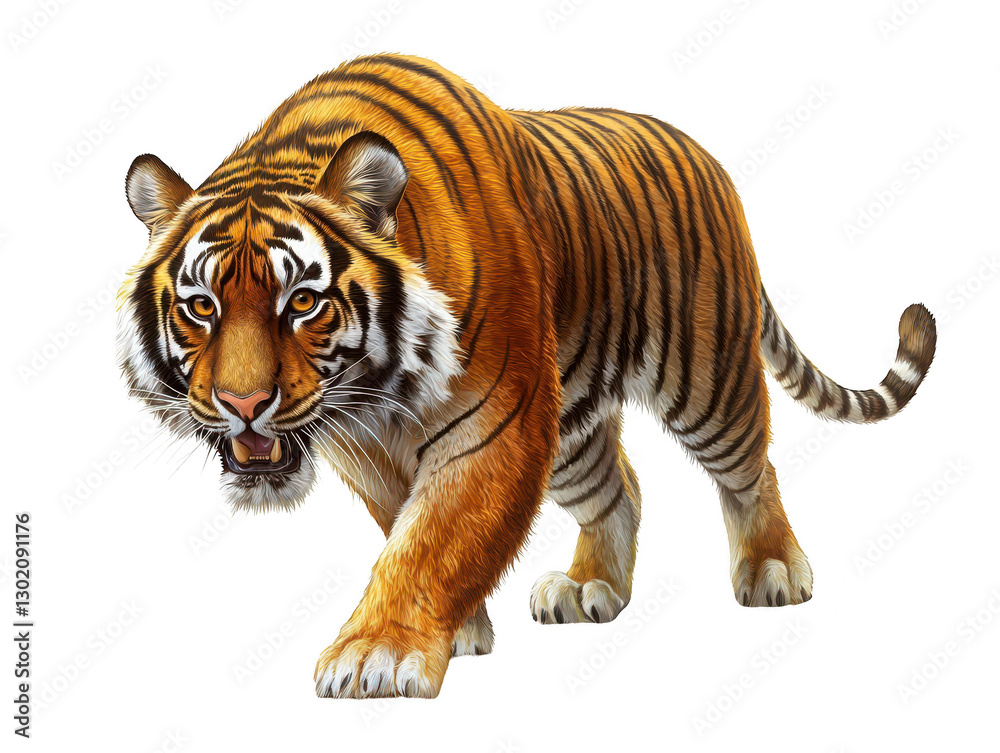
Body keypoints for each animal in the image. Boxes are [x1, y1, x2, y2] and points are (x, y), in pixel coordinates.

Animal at [117, 53, 937, 699]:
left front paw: (378, 653)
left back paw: (771, 572)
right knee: (619, 488)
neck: (376, 395)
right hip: (570, 421)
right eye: (200, 306)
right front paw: (456, 630)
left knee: (751, 470)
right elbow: (406, 531)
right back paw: (590, 587)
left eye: (302, 302)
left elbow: (435, 537)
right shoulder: (369, 452)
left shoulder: (493, 425)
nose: (244, 403)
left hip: (705, 382)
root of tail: (709, 159)